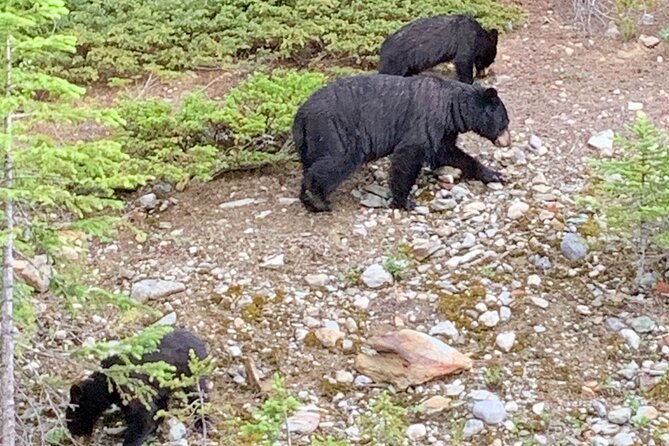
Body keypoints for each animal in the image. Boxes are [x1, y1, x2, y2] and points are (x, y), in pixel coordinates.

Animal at [66, 328, 209, 446]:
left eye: (71, 416)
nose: (72, 432)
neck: (107, 385)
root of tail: (202, 344)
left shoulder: (132, 391)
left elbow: (143, 419)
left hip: (191, 377)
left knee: (200, 397)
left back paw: (202, 423)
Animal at [294, 72, 512, 213]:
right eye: (505, 121)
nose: (507, 142)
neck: (451, 107)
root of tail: (301, 115)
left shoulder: (444, 129)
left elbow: (447, 153)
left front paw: (493, 174)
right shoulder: (425, 121)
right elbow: (408, 156)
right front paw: (403, 201)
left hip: (309, 141)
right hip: (336, 131)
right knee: (337, 161)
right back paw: (317, 199)